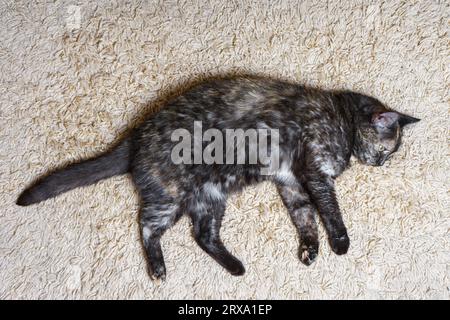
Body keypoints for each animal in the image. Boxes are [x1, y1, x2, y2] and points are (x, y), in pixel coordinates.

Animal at [16, 75, 418, 280]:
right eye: (387, 151)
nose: (381, 164)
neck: (342, 118)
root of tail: (135, 134)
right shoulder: (314, 172)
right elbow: (330, 210)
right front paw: (339, 243)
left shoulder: (291, 182)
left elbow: (304, 216)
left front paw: (309, 249)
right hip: (172, 195)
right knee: (147, 226)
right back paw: (158, 269)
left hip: (211, 196)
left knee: (202, 234)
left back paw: (236, 267)